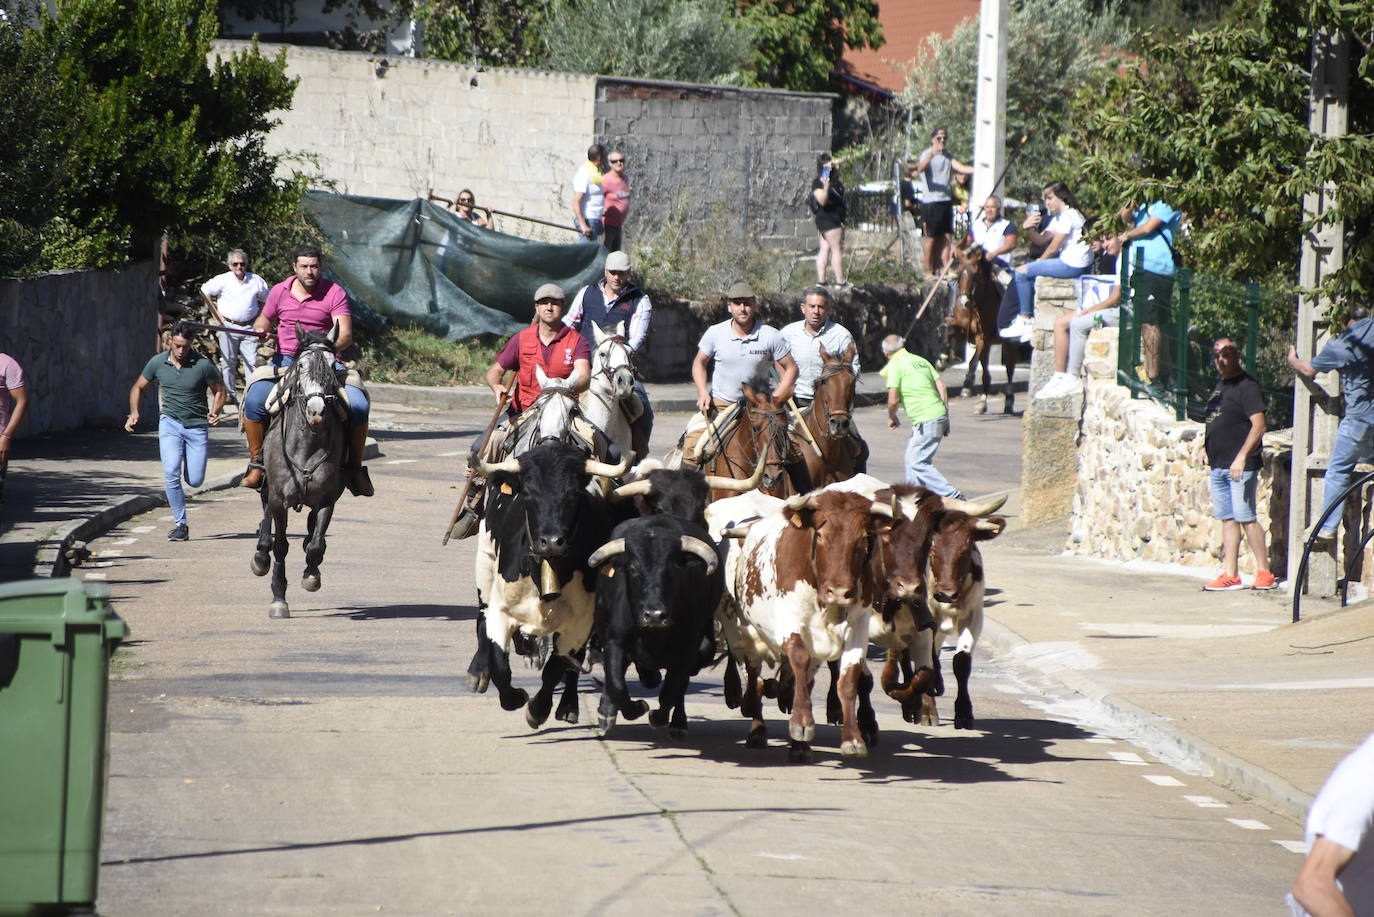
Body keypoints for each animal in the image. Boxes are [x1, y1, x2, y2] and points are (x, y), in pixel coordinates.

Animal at [251, 323, 348, 615]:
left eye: (333, 365)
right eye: (302, 364)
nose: (316, 411)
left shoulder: (327, 500)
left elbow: (315, 544)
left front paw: (311, 576)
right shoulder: (279, 499)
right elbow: (281, 546)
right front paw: (279, 598)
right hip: (268, 487)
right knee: (267, 518)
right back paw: (261, 555)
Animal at [950, 246, 1016, 415]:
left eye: (976, 275)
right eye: (959, 273)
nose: (963, 302)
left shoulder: (983, 338)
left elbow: (972, 362)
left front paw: (967, 384)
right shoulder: (961, 328)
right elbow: (949, 333)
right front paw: (943, 359)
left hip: (1008, 342)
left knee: (1009, 369)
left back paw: (1009, 402)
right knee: (986, 374)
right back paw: (982, 403)